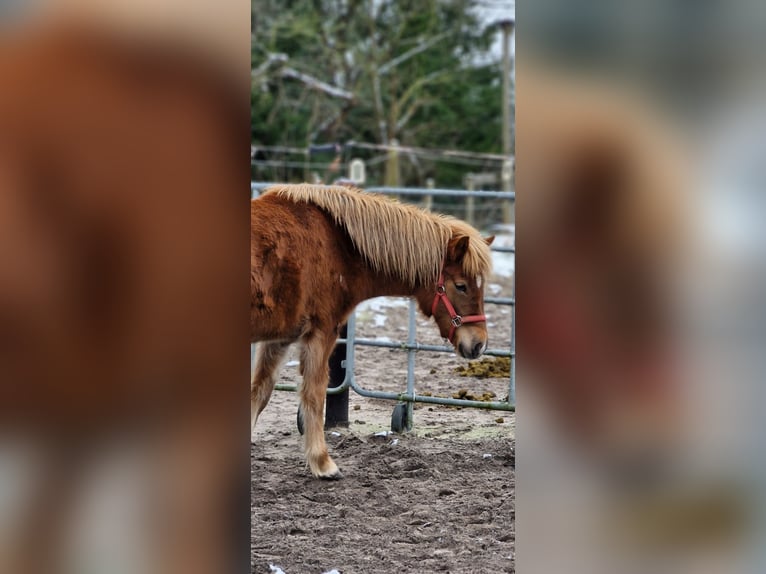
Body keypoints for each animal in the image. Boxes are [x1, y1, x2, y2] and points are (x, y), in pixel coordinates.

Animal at [250, 186, 492, 482]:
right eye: (461, 286)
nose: (479, 343)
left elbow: (259, 392)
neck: (339, 244)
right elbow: (314, 393)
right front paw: (323, 464)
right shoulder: (321, 331)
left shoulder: (280, 339)